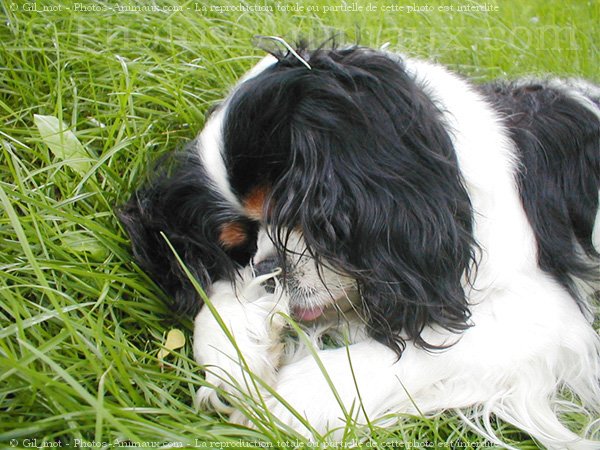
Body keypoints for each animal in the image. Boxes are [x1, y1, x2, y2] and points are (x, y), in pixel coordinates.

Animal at [118, 44, 600, 448]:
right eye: (240, 243)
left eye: (299, 213)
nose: (268, 269)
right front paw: (234, 354)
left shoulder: (548, 311)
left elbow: (427, 344)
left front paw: (294, 401)